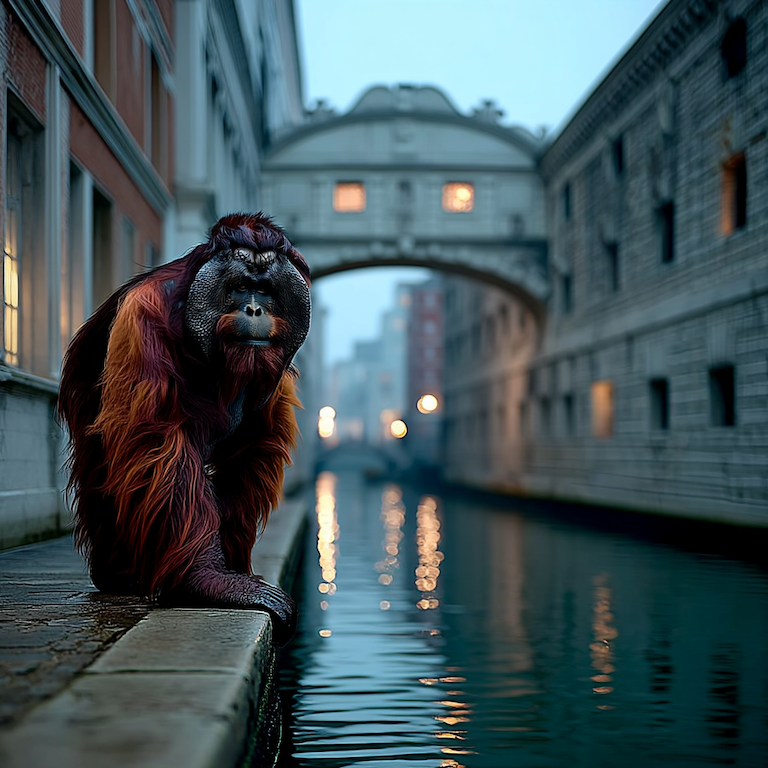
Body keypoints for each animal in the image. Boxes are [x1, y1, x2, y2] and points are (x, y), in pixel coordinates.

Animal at [58, 213, 311, 645]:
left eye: (264, 289)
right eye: (239, 287)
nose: (254, 308)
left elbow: (252, 447)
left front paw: (232, 571)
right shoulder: (144, 318)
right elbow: (160, 441)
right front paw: (212, 583)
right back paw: (120, 575)